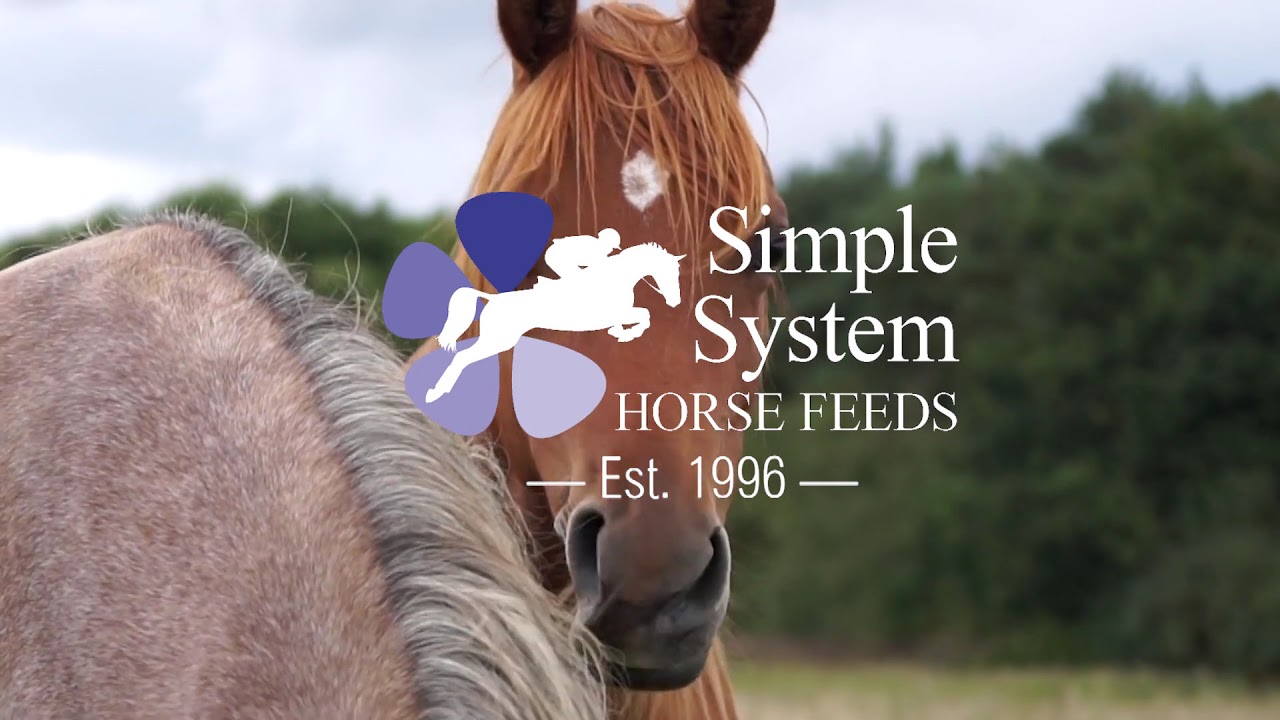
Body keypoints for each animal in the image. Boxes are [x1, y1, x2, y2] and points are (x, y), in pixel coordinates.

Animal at [426, 243, 685, 403]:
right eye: (669, 273)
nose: (675, 301)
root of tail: (493, 299)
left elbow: (640, 316)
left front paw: (620, 333)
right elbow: (644, 315)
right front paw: (626, 334)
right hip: (498, 340)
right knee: (462, 358)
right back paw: (436, 393)